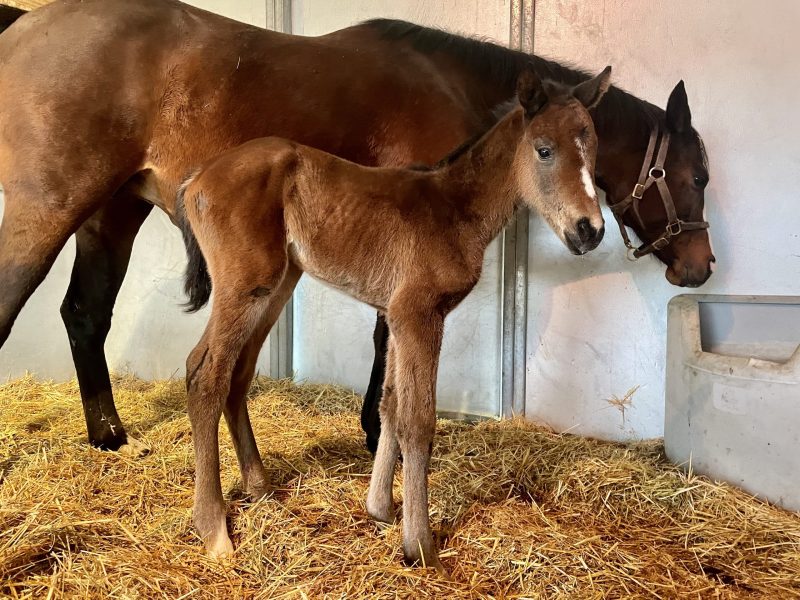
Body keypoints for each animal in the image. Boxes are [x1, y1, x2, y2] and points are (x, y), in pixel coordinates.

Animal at [0, 1, 713, 456]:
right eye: (697, 175)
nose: (701, 266)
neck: (455, 86)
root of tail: (24, 24)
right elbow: (384, 338)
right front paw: (377, 431)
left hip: (112, 214)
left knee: (84, 315)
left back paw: (108, 436)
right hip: (48, 212)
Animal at [176, 67, 611, 573]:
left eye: (593, 147)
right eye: (544, 149)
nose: (589, 230)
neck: (453, 209)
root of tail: (197, 177)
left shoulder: (398, 316)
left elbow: (390, 405)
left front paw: (380, 509)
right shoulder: (417, 314)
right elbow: (418, 420)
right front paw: (420, 545)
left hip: (276, 287)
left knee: (238, 374)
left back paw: (260, 486)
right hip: (247, 286)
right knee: (205, 373)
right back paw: (213, 529)